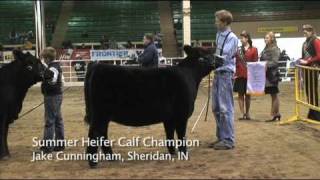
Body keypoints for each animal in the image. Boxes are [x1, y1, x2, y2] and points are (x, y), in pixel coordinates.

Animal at [84, 45, 221, 167]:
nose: (222, 59)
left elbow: (169, 135)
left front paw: (172, 153)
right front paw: (184, 154)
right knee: (95, 133)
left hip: (103, 116)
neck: (189, 75)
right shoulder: (181, 115)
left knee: (102, 134)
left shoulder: (169, 118)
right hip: (100, 114)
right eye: (207, 53)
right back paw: (93, 163)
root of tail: (97, 66)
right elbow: (181, 136)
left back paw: (112, 158)